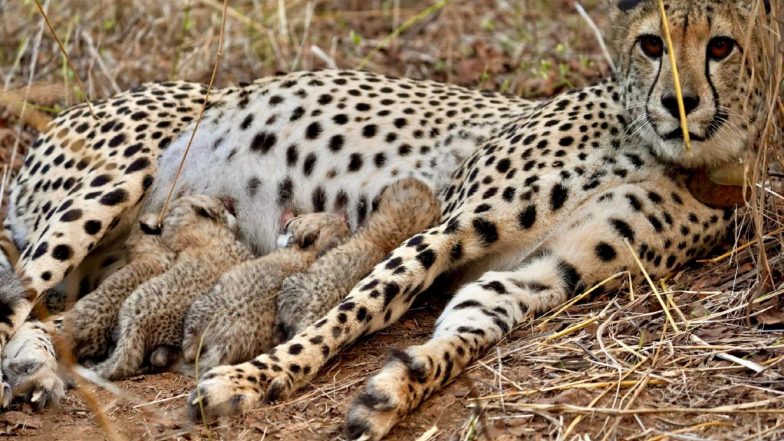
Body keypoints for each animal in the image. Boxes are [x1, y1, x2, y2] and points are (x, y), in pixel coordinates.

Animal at [0, 2, 770, 440]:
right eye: (650, 43)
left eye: (722, 45)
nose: (680, 103)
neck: (675, 155)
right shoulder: (451, 222)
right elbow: (356, 307)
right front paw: (256, 379)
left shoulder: (542, 273)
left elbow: (464, 330)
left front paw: (394, 389)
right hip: (107, 183)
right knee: (15, 300)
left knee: (47, 315)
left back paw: (37, 371)